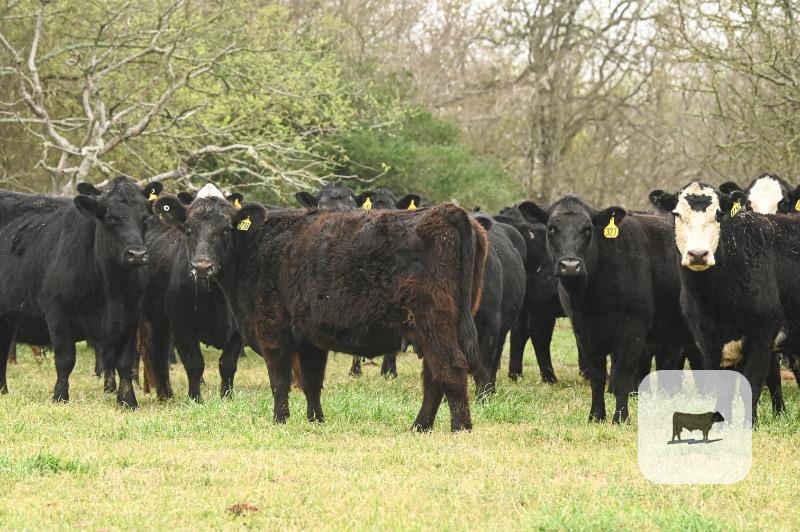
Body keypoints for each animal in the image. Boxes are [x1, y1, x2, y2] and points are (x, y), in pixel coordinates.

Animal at [0, 176, 160, 408]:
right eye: (110, 217)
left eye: (145, 217)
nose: (137, 254)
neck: (111, 288)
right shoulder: (57, 312)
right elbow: (65, 359)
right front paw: (59, 397)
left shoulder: (130, 316)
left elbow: (124, 362)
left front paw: (128, 401)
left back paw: (2, 391)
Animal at [140, 183, 245, 402]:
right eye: (188, 229)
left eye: (227, 230)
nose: (202, 266)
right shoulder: (182, 322)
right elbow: (194, 363)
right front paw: (195, 399)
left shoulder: (238, 329)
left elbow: (228, 364)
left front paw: (226, 396)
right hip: (156, 319)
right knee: (158, 354)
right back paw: (165, 395)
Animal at [153, 196, 488, 431]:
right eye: (188, 229)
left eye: (225, 230)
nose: (202, 266)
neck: (254, 249)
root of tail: (446, 211)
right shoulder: (310, 339)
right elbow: (312, 382)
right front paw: (316, 420)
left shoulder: (271, 331)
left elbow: (280, 381)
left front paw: (280, 420)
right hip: (434, 327)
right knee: (433, 375)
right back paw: (420, 426)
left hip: (435, 321)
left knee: (451, 368)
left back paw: (460, 427)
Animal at [518, 195, 696, 423]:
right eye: (552, 228)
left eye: (587, 229)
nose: (570, 265)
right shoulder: (584, 331)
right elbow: (597, 376)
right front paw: (596, 415)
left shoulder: (632, 329)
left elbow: (622, 377)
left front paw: (620, 418)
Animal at [649, 182, 800, 423]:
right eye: (677, 214)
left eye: (718, 214)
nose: (698, 254)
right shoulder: (708, 341)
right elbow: (723, 389)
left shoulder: (761, 337)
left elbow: (752, 386)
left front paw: (749, 425)